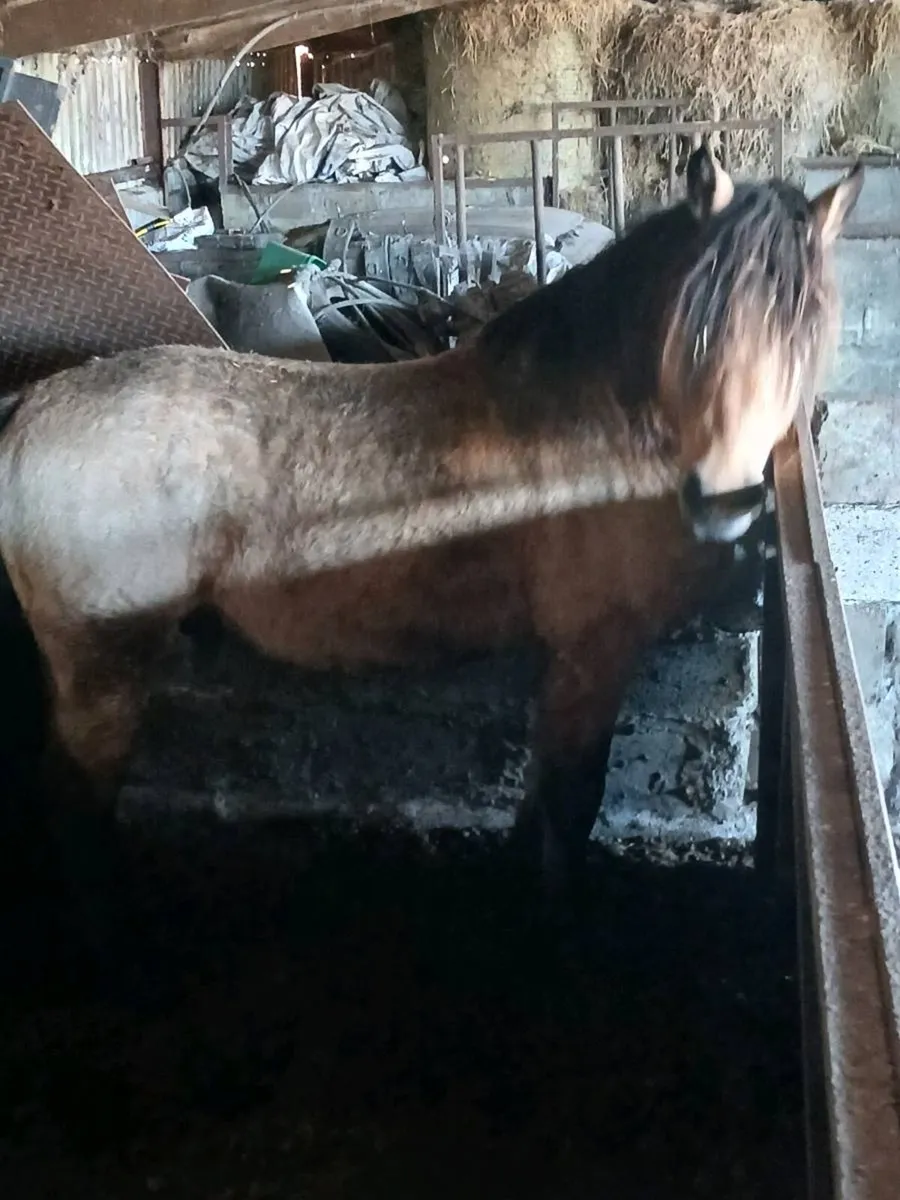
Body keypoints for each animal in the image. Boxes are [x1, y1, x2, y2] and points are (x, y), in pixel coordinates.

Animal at [0, 144, 861, 952]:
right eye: (698, 322)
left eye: (803, 332)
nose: (725, 501)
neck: (601, 422)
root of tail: (28, 412)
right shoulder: (596, 645)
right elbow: (571, 798)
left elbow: (541, 794)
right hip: (105, 663)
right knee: (73, 802)